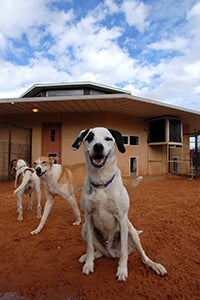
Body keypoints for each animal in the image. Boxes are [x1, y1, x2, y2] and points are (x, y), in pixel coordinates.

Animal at [72, 126, 167, 282]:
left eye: (108, 139)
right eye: (90, 137)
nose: (98, 146)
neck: (101, 182)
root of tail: (111, 252)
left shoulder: (122, 219)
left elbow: (123, 252)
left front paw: (122, 270)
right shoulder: (89, 217)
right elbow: (90, 247)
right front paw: (89, 264)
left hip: (131, 231)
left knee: (143, 257)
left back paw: (155, 265)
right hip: (85, 228)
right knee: (99, 251)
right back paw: (88, 257)